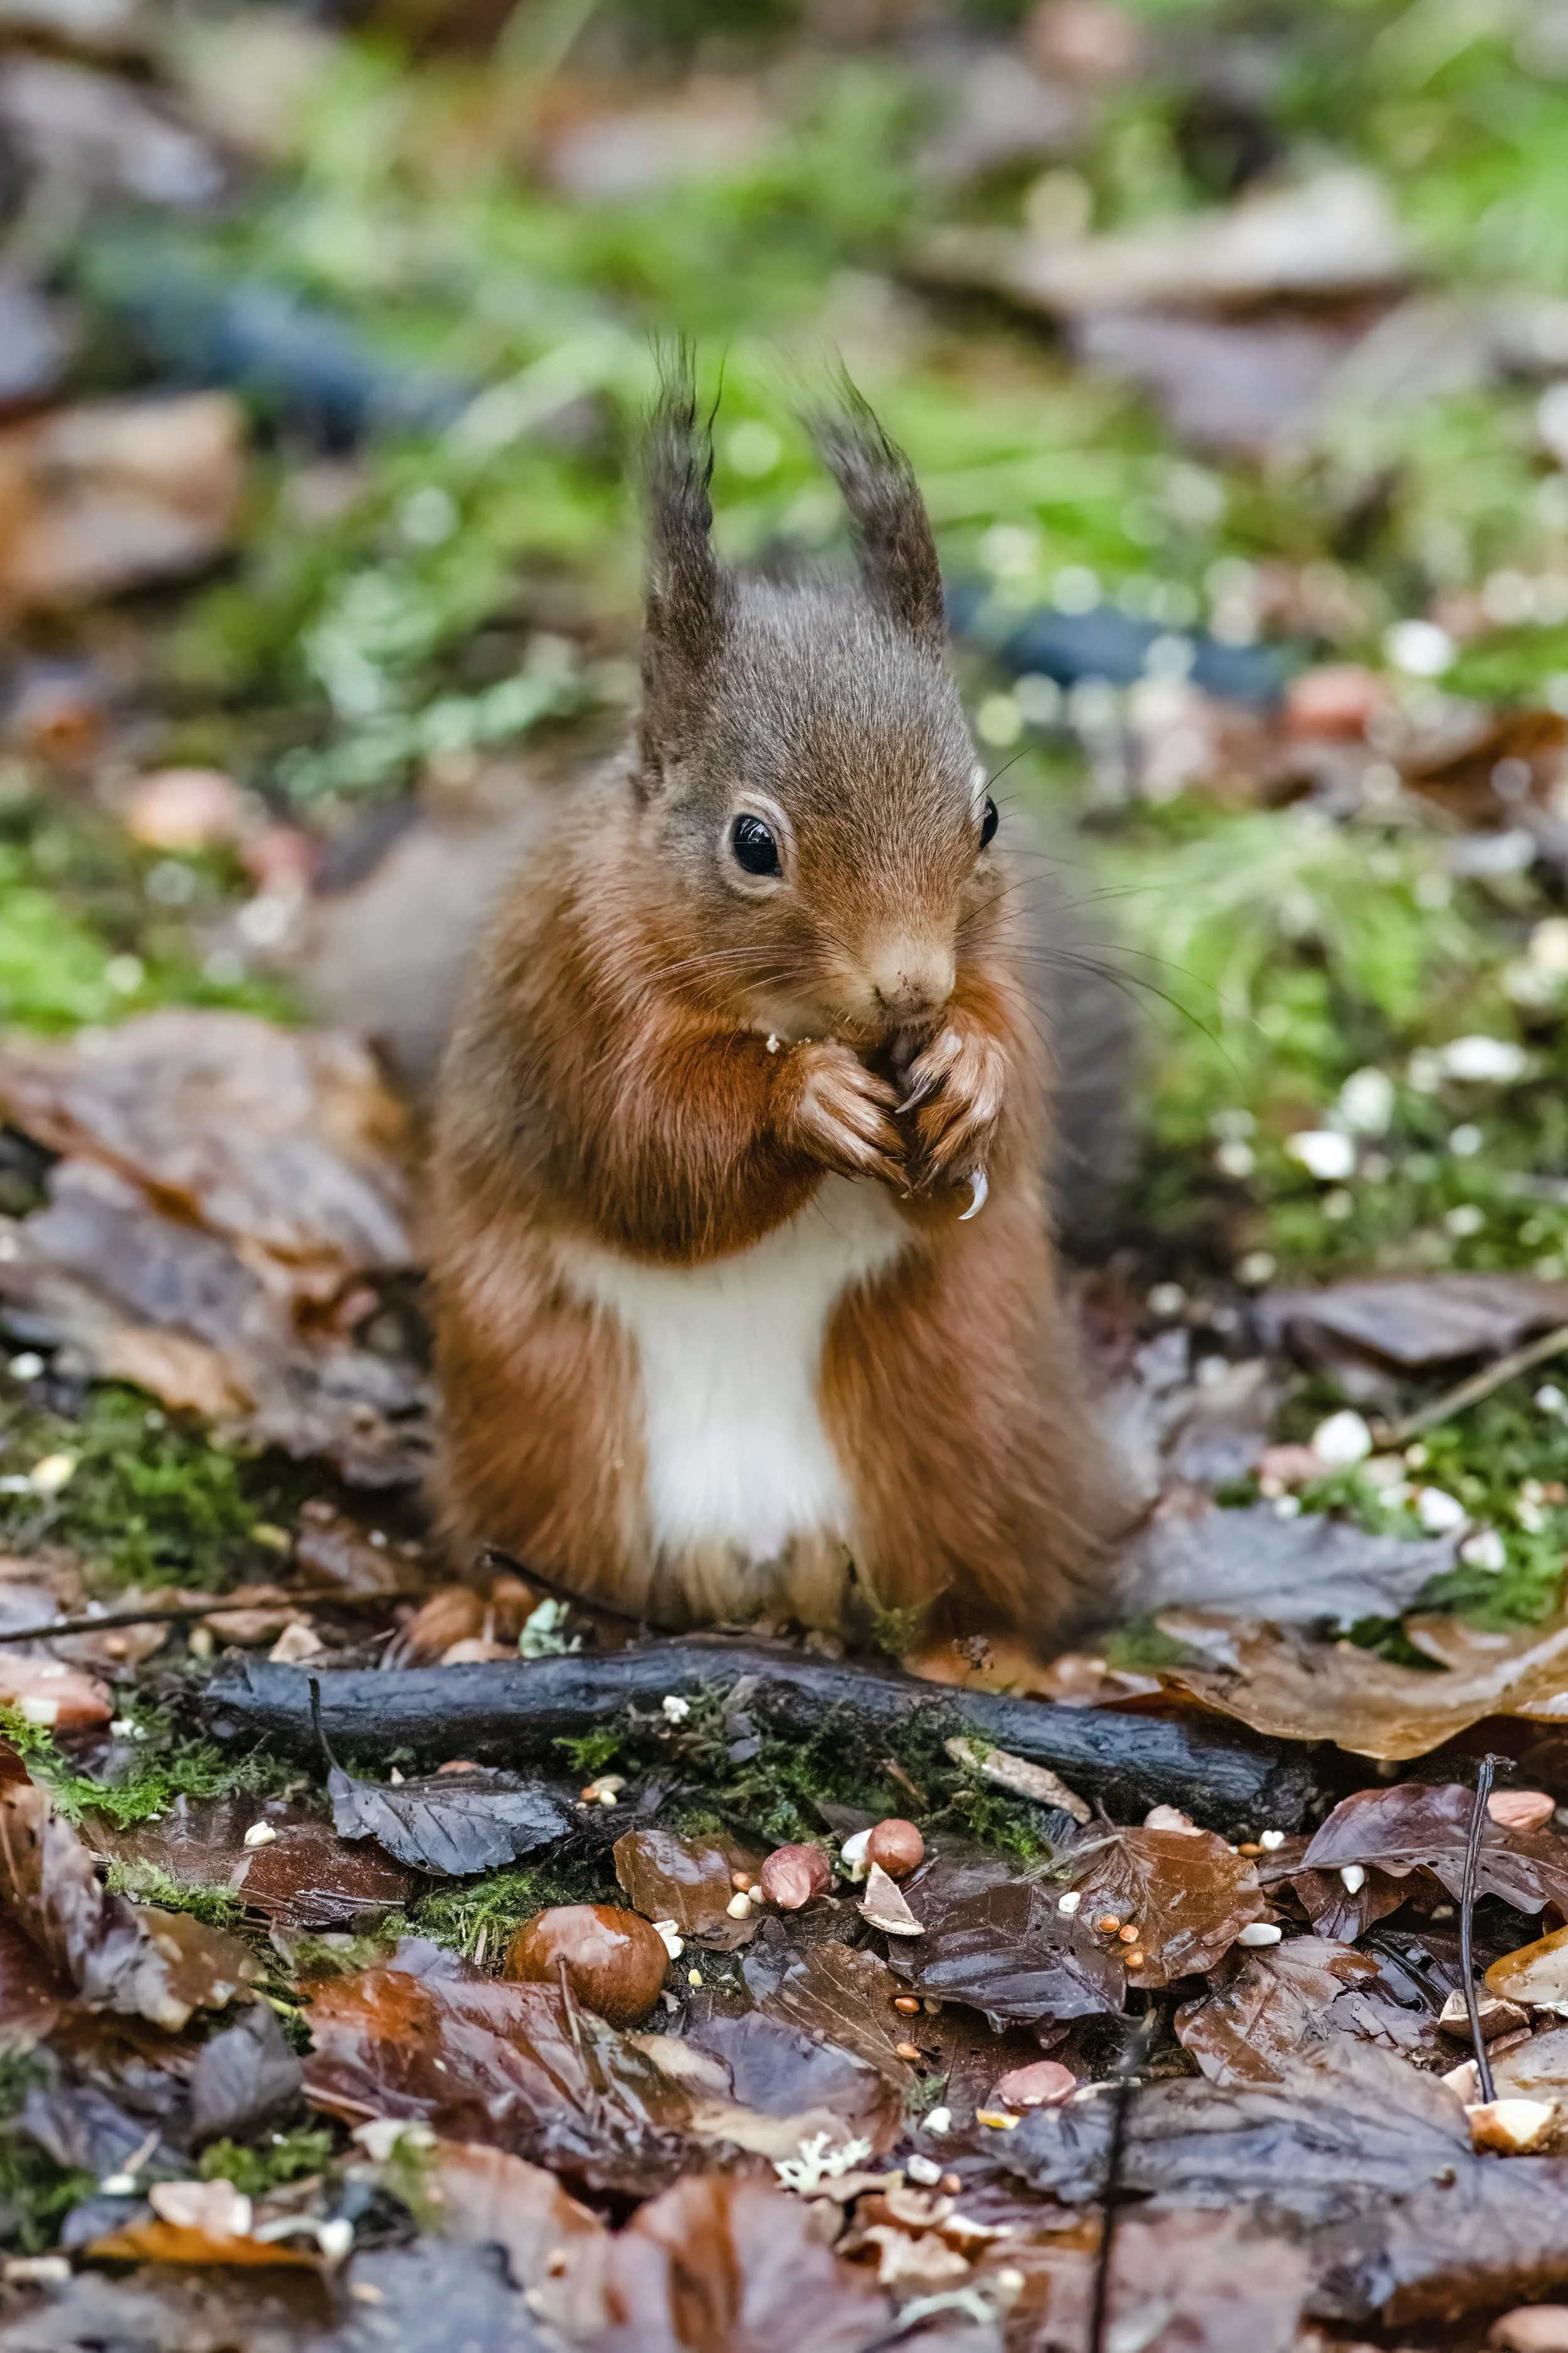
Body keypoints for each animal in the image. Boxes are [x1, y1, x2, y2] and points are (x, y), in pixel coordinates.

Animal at [427, 359, 1129, 1646]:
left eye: (988, 817)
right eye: (752, 843)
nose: (911, 985)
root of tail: (752, 1558)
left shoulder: (996, 968)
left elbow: (999, 1097)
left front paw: (971, 1077)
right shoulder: (573, 989)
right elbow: (645, 1147)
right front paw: (805, 1102)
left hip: (964, 1400)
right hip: (548, 1406)